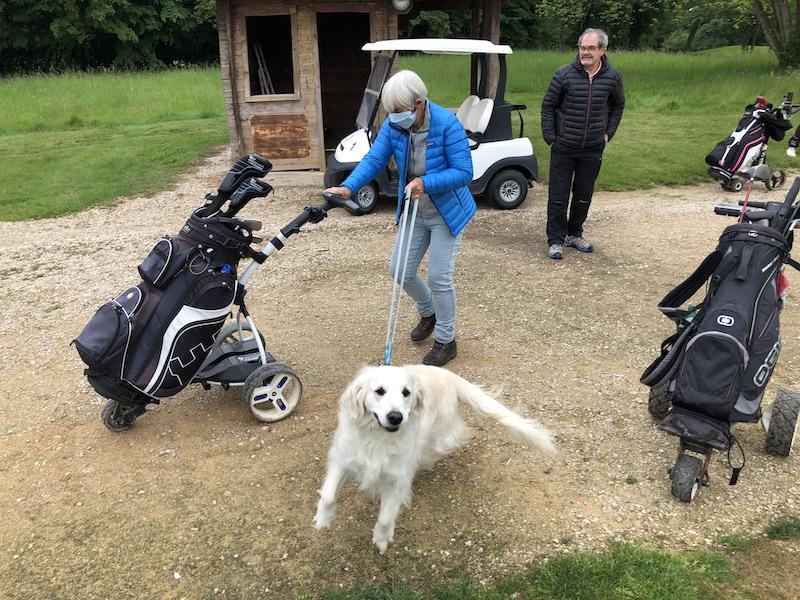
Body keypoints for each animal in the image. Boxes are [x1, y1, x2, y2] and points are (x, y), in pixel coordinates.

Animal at [314, 360, 556, 552]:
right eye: (379, 391)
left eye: (406, 392)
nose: (396, 417)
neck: (378, 438)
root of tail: (449, 375)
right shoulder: (342, 459)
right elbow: (328, 495)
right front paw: (323, 519)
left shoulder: (397, 480)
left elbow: (385, 518)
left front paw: (381, 539)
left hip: (439, 437)